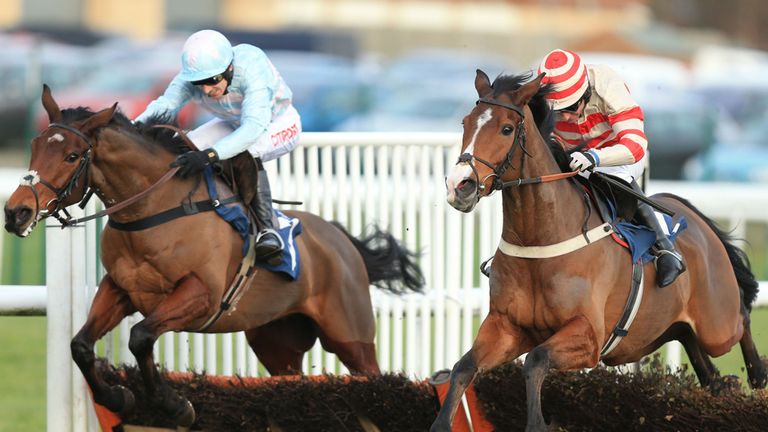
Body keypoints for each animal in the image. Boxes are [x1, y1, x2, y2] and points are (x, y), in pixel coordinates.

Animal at [3, 86, 424, 426]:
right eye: (35, 147)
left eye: (73, 155)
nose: (17, 212)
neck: (152, 210)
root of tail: (342, 241)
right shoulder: (121, 290)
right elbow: (81, 345)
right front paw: (118, 397)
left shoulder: (200, 295)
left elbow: (141, 337)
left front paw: (175, 405)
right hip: (277, 341)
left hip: (350, 336)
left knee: (374, 375)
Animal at [436, 70, 764, 428]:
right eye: (466, 122)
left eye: (507, 128)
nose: (459, 185)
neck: (541, 240)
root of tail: (691, 214)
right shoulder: (507, 327)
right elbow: (463, 367)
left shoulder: (588, 335)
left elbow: (535, 361)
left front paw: (539, 423)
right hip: (674, 327)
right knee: (703, 360)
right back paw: (722, 385)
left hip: (717, 325)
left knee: (742, 316)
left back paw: (757, 376)